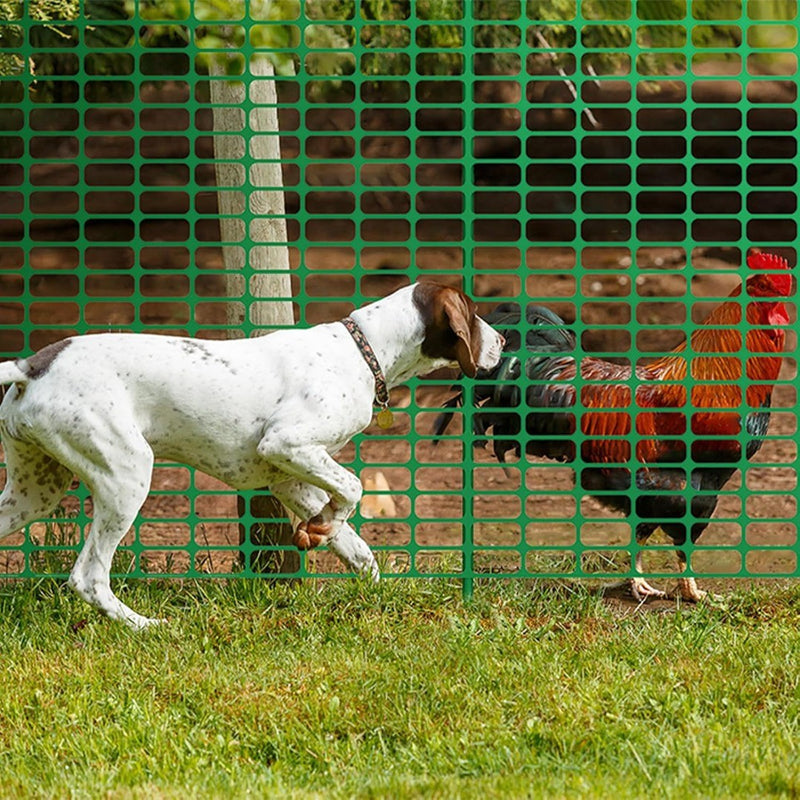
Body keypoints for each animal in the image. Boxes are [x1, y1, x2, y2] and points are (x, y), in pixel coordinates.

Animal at [0, 284, 500, 628]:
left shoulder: (289, 474)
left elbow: (354, 544)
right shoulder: (285, 444)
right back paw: (144, 626)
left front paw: (348, 561)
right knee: (88, 576)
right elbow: (354, 488)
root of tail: (31, 366)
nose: (502, 343)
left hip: (34, 491)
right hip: (126, 476)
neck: (364, 352)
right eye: (474, 314)